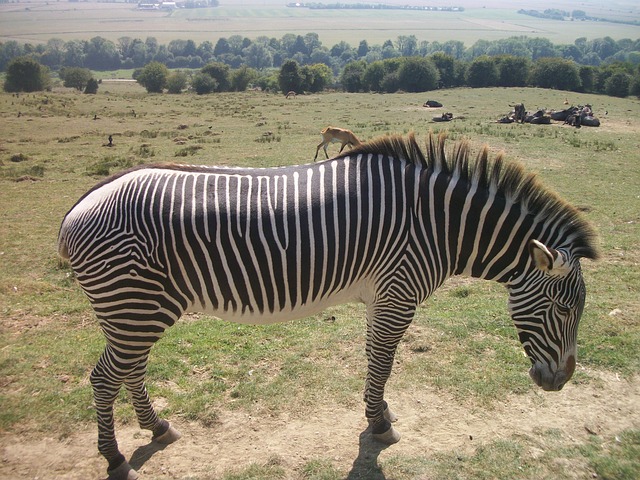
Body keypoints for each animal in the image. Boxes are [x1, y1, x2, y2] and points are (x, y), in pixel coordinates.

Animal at [57, 132, 596, 480]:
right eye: (563, 310)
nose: (562, 381)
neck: (439, 224)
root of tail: (81, 205)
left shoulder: (383, 294)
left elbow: (375, 356)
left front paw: (379, 411)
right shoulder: (399, 292)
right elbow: (383, 360)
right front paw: (378, 423)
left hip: (134, 311)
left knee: (129, 370)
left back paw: (157, 428)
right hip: (136, 305)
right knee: (104, 377)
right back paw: (114, 456)